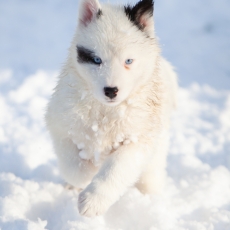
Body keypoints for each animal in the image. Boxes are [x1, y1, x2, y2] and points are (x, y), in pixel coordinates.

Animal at [45, 0, 178, 217]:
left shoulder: (137, 139)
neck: (105, 112)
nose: (111, 91)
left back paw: (151, 200)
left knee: (150, 176)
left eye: (128, 61)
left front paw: (93, 201)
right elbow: (73, 167)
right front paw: (86, 174)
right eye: (96, 60)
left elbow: (115, 170)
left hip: (157, 148)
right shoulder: (62, 126)